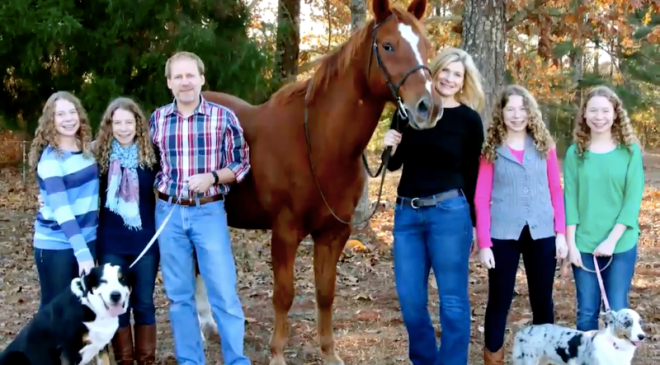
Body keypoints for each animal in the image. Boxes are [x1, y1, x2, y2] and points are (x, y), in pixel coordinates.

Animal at [0, 264, 133, 362]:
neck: (92, 307)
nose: (115, 295)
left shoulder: (101, 347)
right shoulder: (68, 351)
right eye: (103, 281)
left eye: (122, 279)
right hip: (15, 356)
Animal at [197, 0, 444, 362]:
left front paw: (329, 353)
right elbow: (284, 294)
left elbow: (325, 293)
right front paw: (277, 354)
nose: (429, 108)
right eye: (388, 46)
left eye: (426, 47)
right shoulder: (285, 231)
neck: (318, 141)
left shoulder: (334, 233)